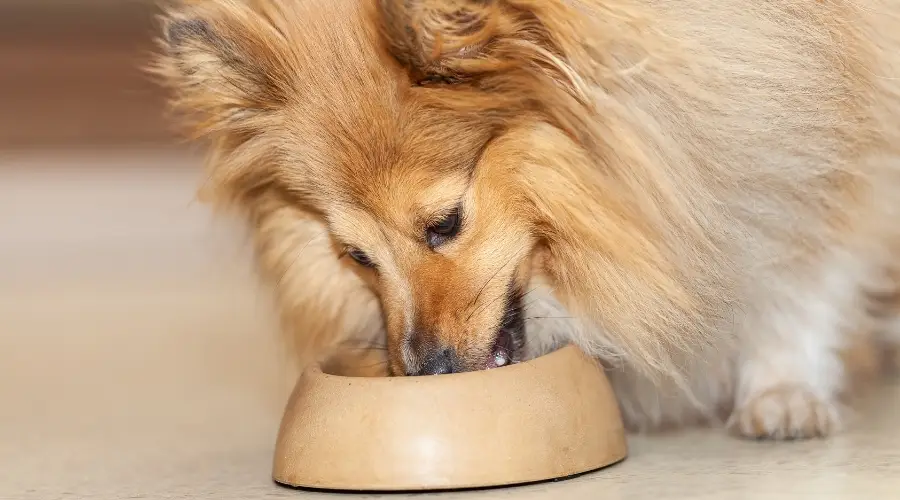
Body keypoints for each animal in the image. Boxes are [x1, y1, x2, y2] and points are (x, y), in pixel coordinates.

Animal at [151, 0, 900, 438]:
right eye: (356, 257)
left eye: (446, 224)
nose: (424, 373)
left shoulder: (816, 136)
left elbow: (800, 278)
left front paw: (782, 393)